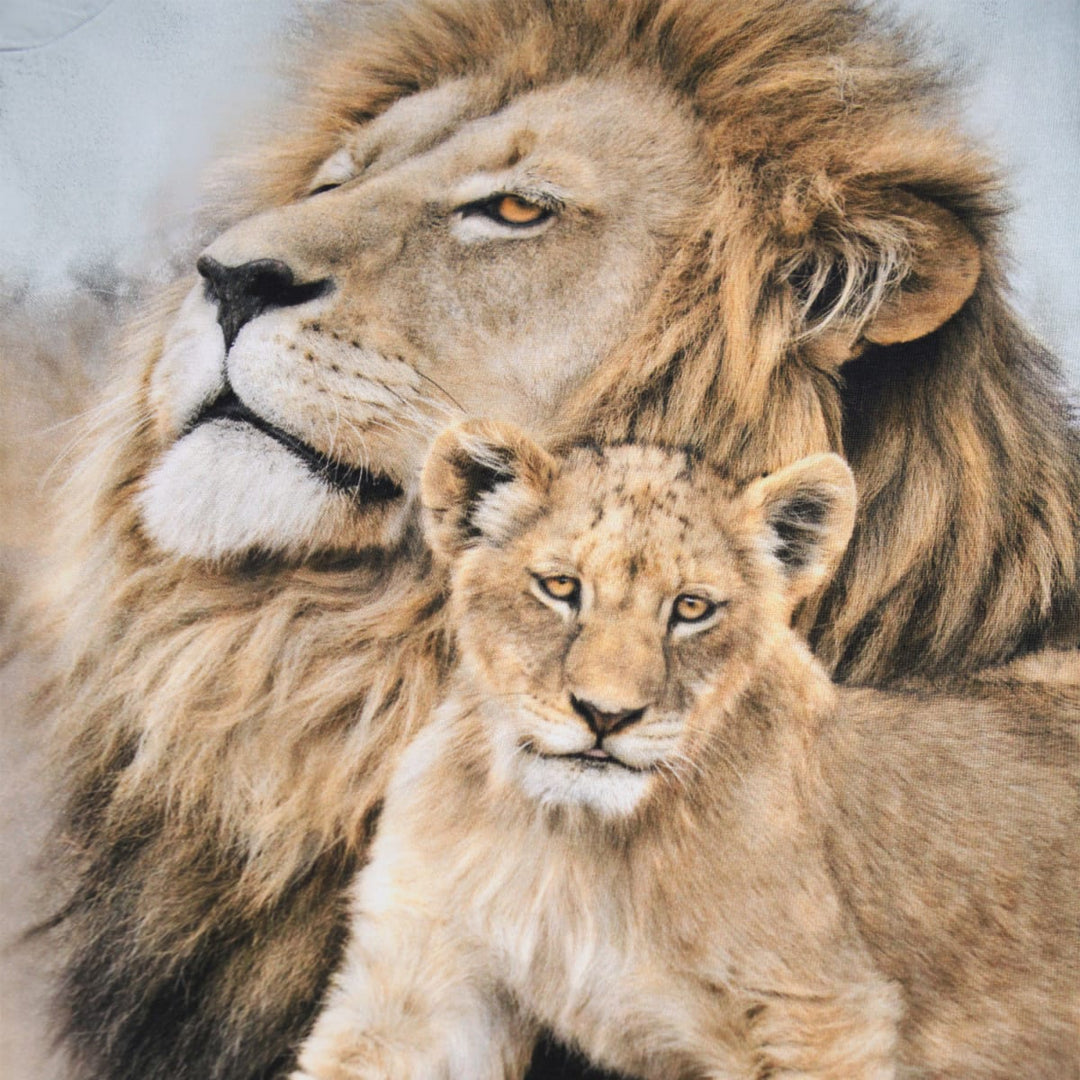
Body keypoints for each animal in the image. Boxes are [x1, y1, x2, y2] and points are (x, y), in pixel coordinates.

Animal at [291, 420, 1079, 1080]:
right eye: (560, 587)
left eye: (692, 608)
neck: (572, 845)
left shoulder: (821, 1014)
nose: (606, 715)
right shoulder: (419, 982)